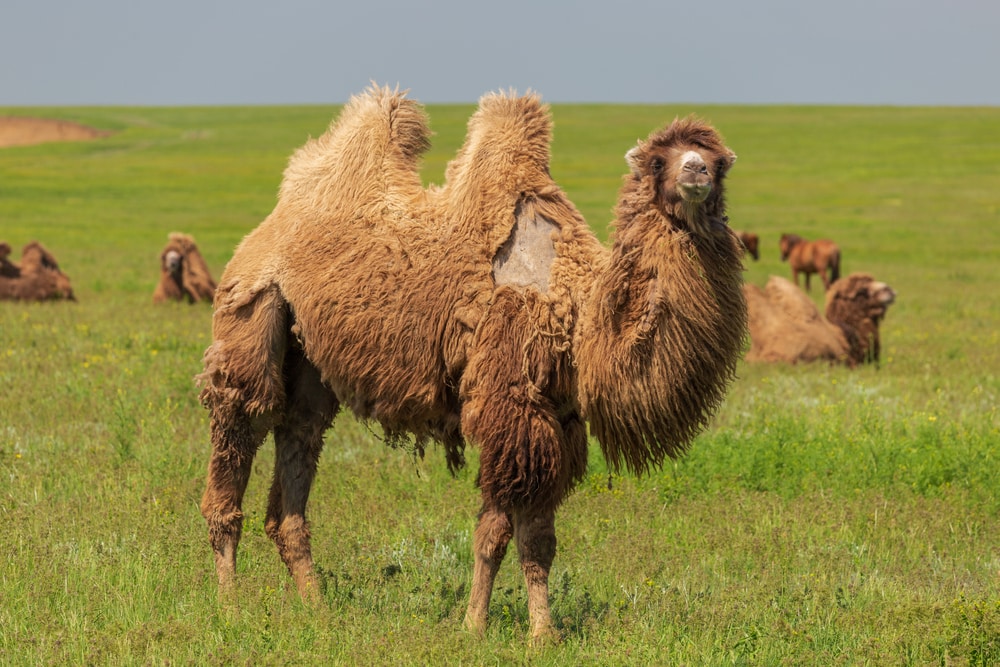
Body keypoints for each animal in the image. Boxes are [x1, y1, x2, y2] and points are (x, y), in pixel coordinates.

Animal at [198, 86, 746, 642]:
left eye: (719, 161)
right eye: (658, 161)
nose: (696, 172)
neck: (579, 314)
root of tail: (272, 223)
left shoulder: (558, 416)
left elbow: (539, 538)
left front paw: (543, 634)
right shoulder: (509, 400)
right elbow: (496, 532)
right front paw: (476, 626)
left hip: (309, 358)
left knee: (298, 438)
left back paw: (317, 608)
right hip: (253, 307)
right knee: (241, 422)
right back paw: (230, 607)